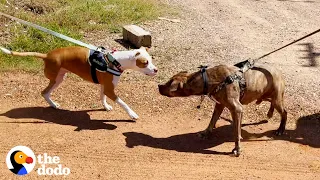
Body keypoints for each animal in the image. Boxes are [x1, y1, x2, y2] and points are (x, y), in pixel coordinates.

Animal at [0, 46, 158, 119]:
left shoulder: (104, 86)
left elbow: (102, 97)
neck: (115, 61)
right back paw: (53, 105)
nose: (156, 70)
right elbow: (123, 103)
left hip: (59, 78)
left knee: (45, 92)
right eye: (145, 62)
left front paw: (106, 107)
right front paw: (132, 114)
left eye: (151, 59)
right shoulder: (110, 89)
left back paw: (53, 104)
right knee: (44, 92)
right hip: (56, 78)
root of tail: (47, 55)